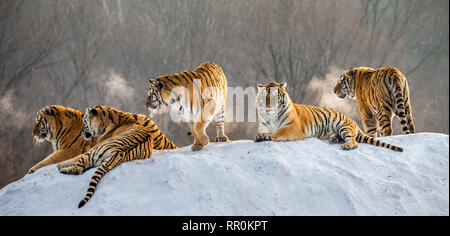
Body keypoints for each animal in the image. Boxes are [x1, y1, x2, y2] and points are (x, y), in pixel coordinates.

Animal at [255, 81, 402, 151]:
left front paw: (268, 137)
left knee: (354, 141)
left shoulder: (293, 127)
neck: (271, 117)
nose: (269, 105)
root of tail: (353, 121)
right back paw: (334, 139)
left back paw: (346, 145)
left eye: (275, 96)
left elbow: (279, 132)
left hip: (342, 125)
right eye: (266, 96)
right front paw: (259, 136)